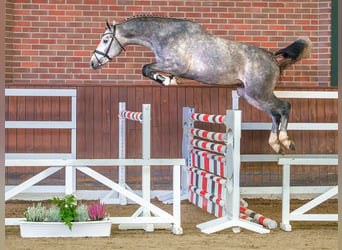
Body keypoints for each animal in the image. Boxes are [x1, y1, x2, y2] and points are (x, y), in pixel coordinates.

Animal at [91, 16, 312, 154]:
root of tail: (272, 57)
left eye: (105, 40)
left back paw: (286, 141)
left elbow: (146, 68)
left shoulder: (176, 64)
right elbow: (148, 70)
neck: (164, 35)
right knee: (275, 114)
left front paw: (168, 81)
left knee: (284, 107)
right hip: (249, 95)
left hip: (259, 92)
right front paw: (170, 80)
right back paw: (276, 145)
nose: (93, 63)